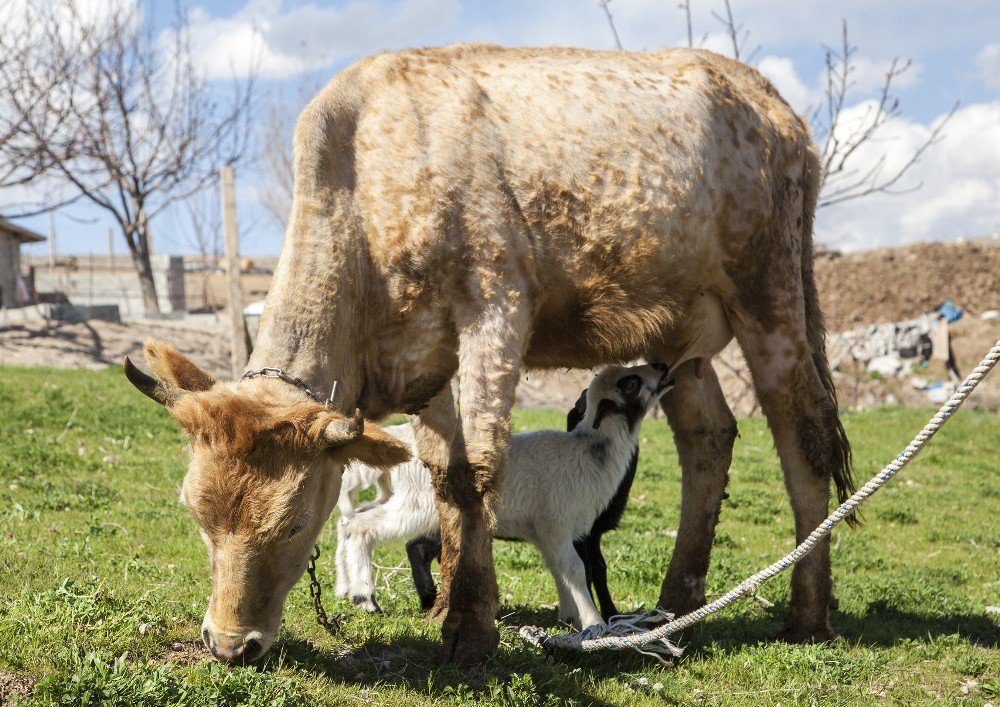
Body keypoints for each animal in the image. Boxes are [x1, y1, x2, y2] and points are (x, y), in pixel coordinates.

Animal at [125, 42, 856, 664]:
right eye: (196, 513)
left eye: (299, 516)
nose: (230, 645)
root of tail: (763, 95)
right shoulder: (423, 361)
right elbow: (445, 475)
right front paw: (451, 601)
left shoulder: (496, 308)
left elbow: (479, 466)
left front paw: (472, 629)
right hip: (683, 332)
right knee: (708, 435)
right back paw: (678, 603)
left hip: (770, 293)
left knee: (802, 437)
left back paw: (808, 613)